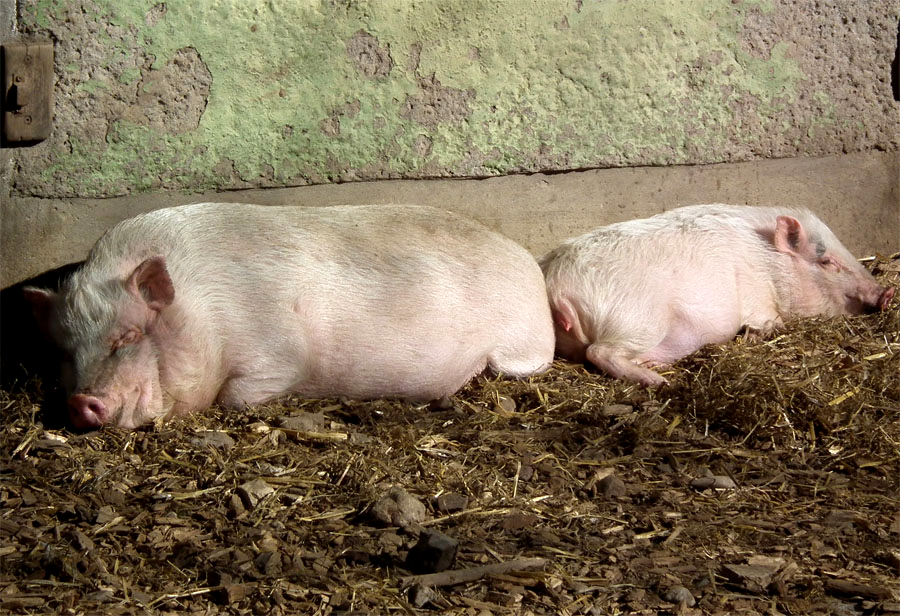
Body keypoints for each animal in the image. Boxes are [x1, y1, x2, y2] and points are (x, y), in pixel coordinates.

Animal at [22, 202, 556, 428]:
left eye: (128, 337)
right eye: (65, 353)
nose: (80, 402)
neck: (201, 312)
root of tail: (529, 264)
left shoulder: (277, 354)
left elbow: (236, 399)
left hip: (518, 349)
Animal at [536, 203, 896, 384]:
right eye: (827, 261)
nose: (888, 292)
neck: (769, 263)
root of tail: (557, 285)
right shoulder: (759, 302)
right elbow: (770, 323)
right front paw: (755, 335)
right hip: (638, 319)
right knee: (600, 352)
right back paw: (660, 380)